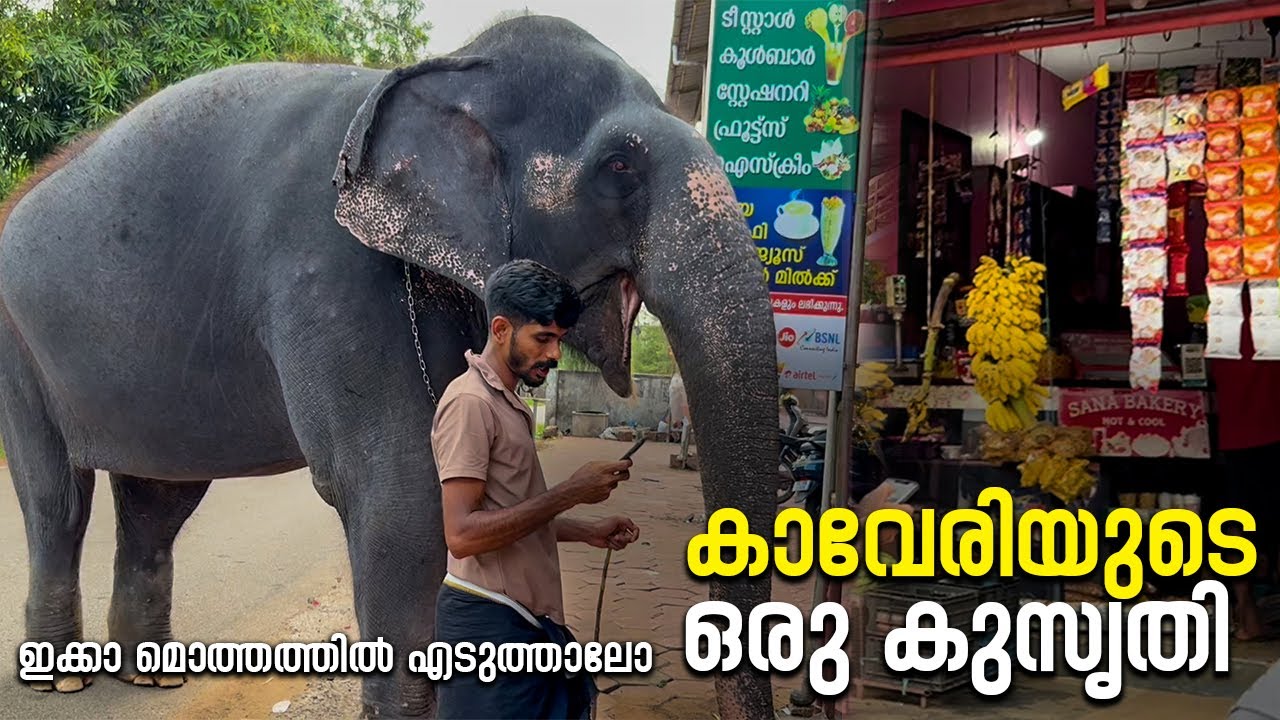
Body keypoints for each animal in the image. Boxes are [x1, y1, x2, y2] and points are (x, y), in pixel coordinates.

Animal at [0, 13, 779, 719]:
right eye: (620, 165)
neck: (445, 72)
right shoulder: (324, 266)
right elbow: (400, 492)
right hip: (15, 341)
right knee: (56, 499)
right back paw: (61, 679)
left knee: (159, 501)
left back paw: (151, 678)